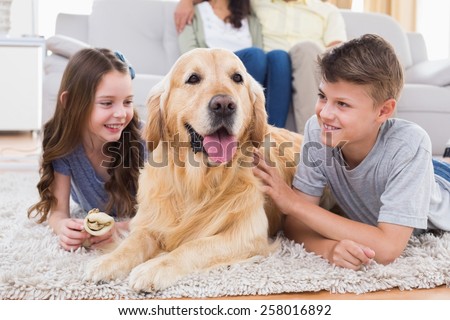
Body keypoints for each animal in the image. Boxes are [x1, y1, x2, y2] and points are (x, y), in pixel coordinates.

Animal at [84, 48, 302, 292]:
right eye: (193, 78)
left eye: (237, 78)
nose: (224, 105)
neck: (198, 181)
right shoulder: (150, 220)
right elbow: (133, 242)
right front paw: (107, 262)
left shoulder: (247, 234)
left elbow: (195, 246)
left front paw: (154, 267)